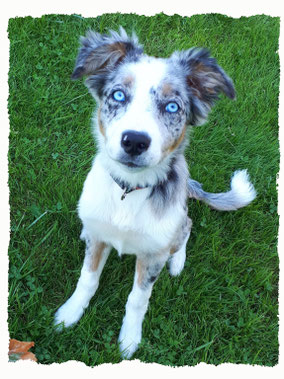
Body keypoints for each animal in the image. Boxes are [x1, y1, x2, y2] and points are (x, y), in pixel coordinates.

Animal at [53, 26, 258, 360]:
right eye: (118, 95)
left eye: (172, 106)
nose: (135, 141)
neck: (129, 190)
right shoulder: (99, 238)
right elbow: (87, 278)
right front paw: (69, 313)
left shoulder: (151, 256)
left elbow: (138, 299)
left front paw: (129, 340)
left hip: (176, 224)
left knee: (187, 226)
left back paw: (177, 262)